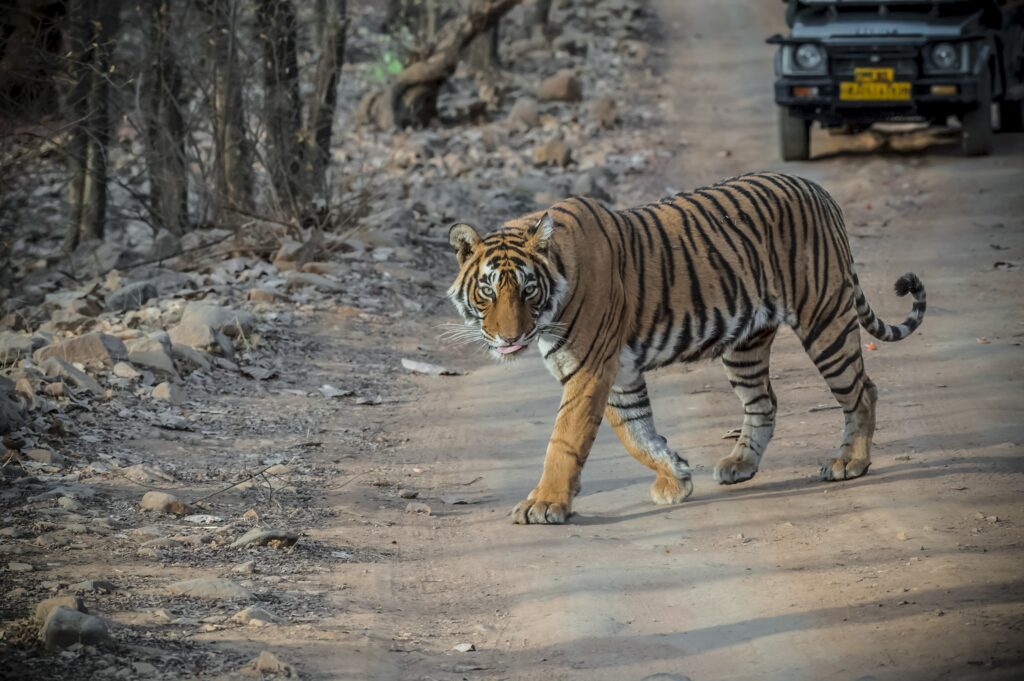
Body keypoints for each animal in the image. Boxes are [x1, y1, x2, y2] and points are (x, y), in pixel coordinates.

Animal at [444, 168, 925, 520]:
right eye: (488, 291)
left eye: (527, 290)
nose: (509, 338)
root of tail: (819, 189)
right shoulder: (617, 374)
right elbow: (637, 434)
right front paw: (675, 478)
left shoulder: (589, 370)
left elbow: (565, 440)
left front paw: (545, 503)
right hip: (745, 345)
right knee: (764, 402)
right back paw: (740, 465)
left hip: (825, 318)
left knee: (863, 390)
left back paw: (850, 463)